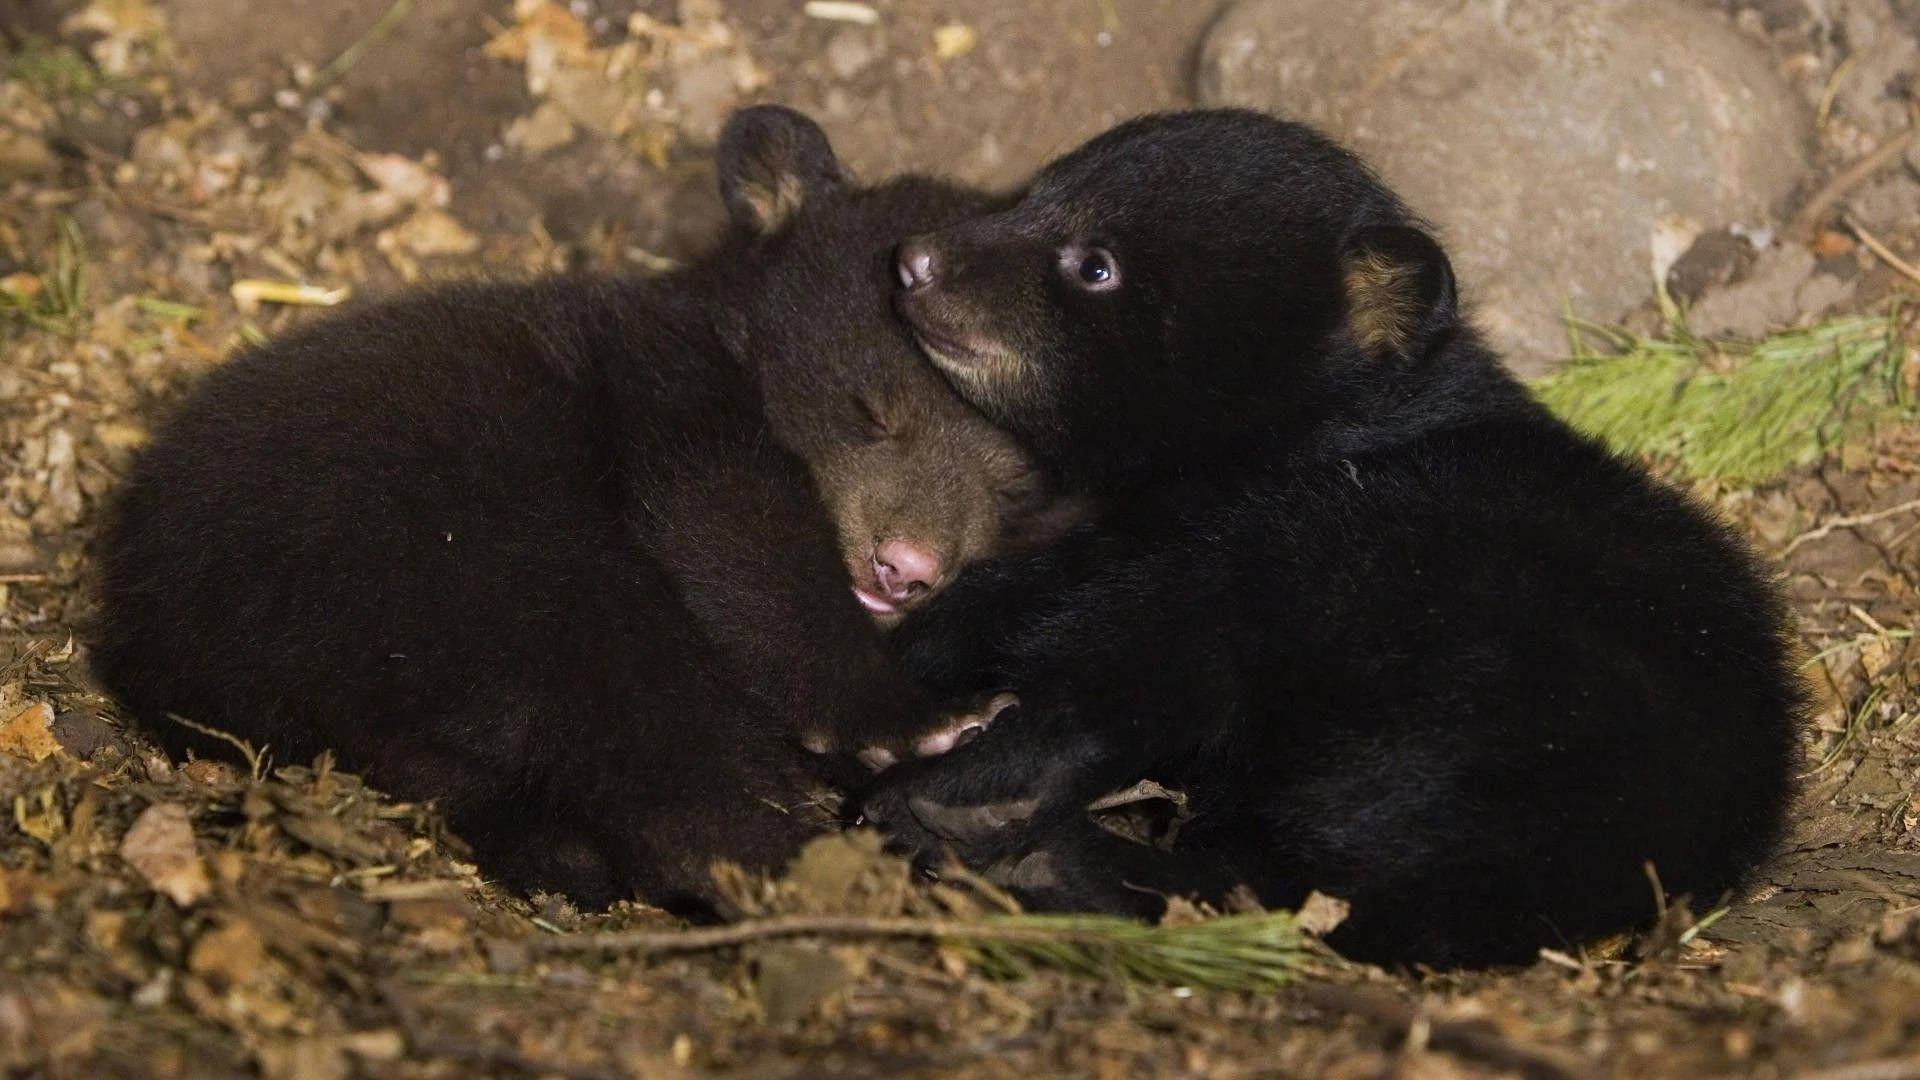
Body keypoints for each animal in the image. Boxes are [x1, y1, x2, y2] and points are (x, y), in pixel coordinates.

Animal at [89, 106, 1068, 915]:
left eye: (1014, 488)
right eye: (869, 410)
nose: (904, 569)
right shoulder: (667, 400)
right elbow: (739, 544)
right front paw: (919, 719)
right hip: (428, 561)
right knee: (633, 703)